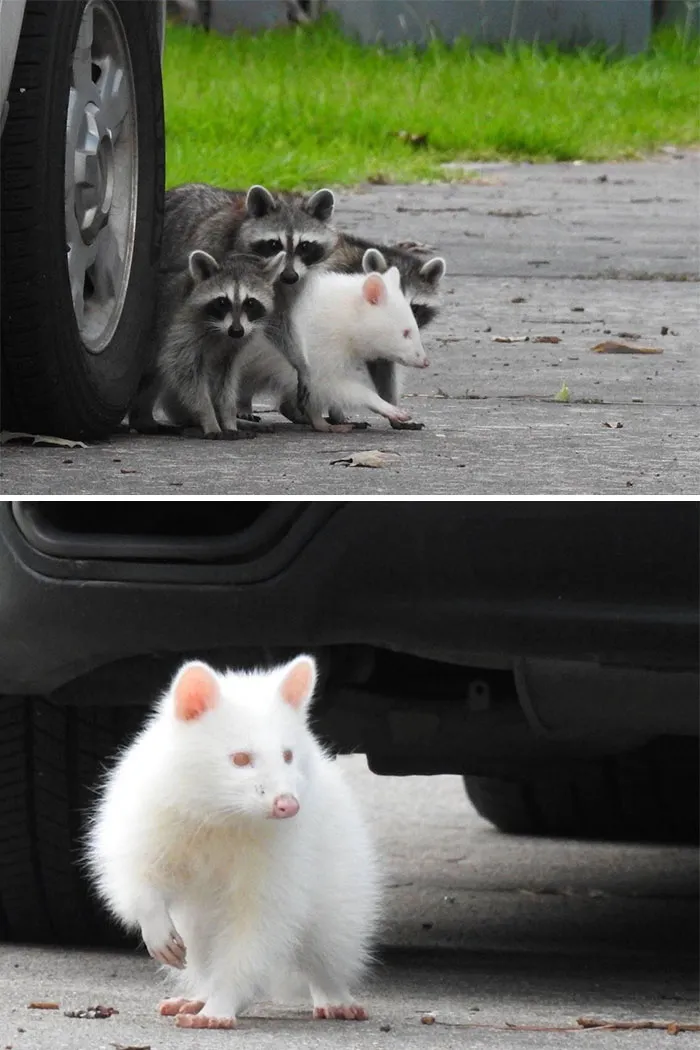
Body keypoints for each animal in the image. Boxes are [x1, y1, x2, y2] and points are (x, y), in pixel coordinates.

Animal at [131, 250, 284, 439]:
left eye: (250, 303)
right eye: (222, 302)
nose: (236, 330)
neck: (221, 331)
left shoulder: (236, 345)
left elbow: (226, 380)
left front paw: (228, 419)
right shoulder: (181, 329)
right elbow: (184, 372)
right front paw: (209, 418)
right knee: (152, 375)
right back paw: (144, 420)